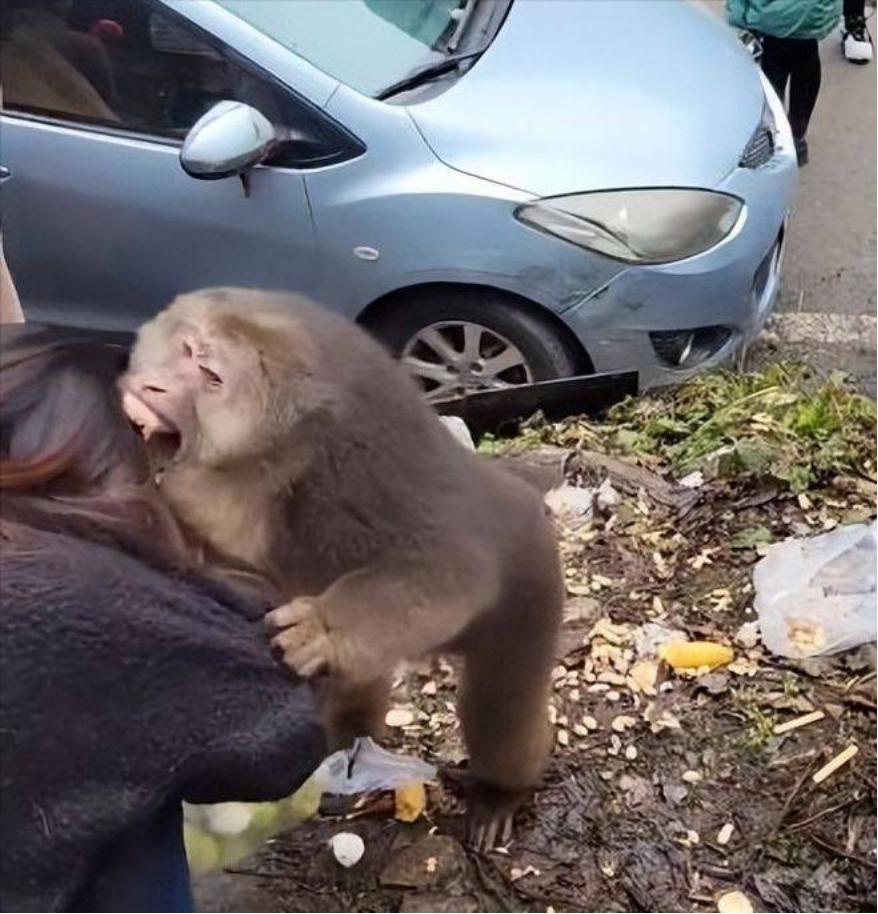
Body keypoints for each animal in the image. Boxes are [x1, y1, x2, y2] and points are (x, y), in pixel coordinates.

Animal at [122, 286, 564, 848]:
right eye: (184, 348)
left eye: (210, 375)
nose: (151, 387)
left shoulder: (348, 462)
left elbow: (451, 569)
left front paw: (321, 626)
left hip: (530, 582)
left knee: (501, 704)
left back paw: (501, 790)